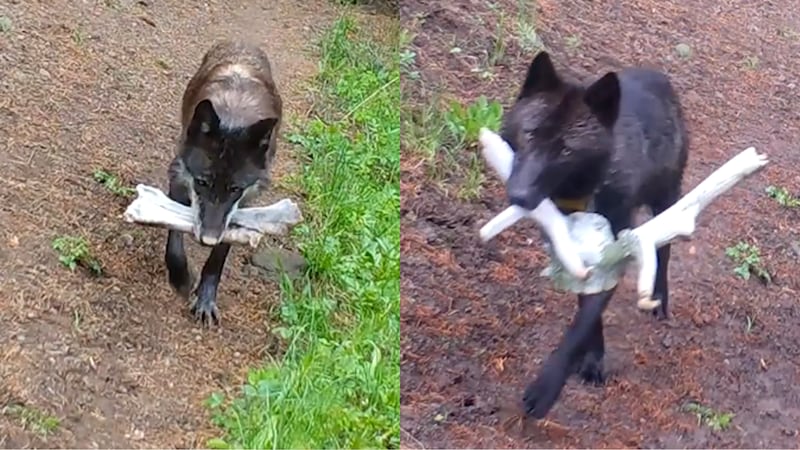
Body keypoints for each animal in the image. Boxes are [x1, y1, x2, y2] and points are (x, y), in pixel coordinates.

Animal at [165, 40, 282, 326]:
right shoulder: (180, 178)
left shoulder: (243, 203)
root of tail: (243, 43)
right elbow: (174, 239)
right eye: (202, 182)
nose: (207, 239)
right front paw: (180, 278)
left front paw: (205, 299)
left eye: (235, 189)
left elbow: (219, 257)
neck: (234, 118)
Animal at [499, 52, 689, 418]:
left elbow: (583, 322)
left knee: (665, 250)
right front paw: (591, 359)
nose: (518, 195)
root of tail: (657, 76)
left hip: (667, 198)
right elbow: (587, 311)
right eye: (529, 133)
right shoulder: (575, 257)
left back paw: (659, 298)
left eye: (566, 150)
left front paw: (548, 388)